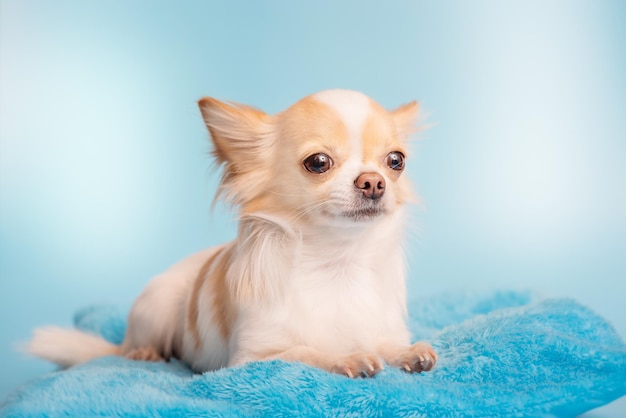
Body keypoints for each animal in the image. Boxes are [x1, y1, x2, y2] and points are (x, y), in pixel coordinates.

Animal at [28, 90, 434, 378]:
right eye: (318, 162)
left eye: (396, 161)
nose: (374, 182)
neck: (336, 261)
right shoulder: (252, 359)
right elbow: (304, 352)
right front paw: (347, 358)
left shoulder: (381, 325)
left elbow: (386, 343)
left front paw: (407, 351)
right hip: (156, 305)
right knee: (135, 346)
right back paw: (144, 352)